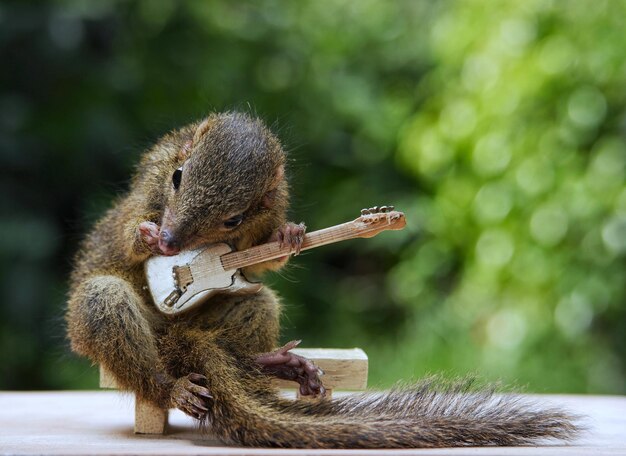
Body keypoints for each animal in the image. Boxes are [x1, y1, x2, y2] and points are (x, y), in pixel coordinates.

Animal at [66, 112, 576, 448]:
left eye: (233, 220)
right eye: (177, 177)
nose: (171, 244)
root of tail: (177, 342)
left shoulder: (260, 224)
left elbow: (254, 264)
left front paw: (289, 237)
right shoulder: (150, 179)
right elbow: (126, 231)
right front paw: (145, 235)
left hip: (241, 314)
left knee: (257, 310)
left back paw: (279, 366)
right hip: (112, 314)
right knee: (134, 351)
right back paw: (173, 387)